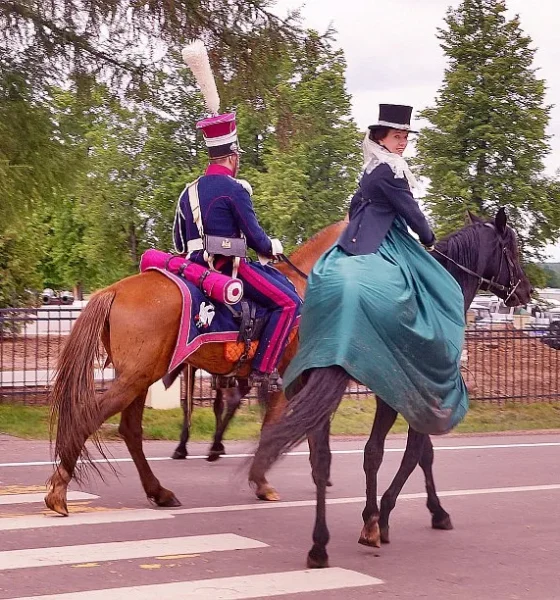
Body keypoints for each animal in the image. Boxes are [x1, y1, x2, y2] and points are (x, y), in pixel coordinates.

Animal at [46, 220, 344, 516]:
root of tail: (113, 290)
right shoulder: (288, 376)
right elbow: (280, 425)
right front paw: (263, 481)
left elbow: (308, 423)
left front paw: (319, 472)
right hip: (134, 380)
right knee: (89, 418)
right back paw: (59, 491)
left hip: (139, 379)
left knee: (130, 430)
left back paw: (160, 491)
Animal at [249, 210, 532, 568]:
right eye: (511, 248)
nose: (526, 292)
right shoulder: (419, 395)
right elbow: (412, 454)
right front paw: (383, 519)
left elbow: (393, 453)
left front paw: (400, 514)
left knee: (317, 457)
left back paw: (317, 544)